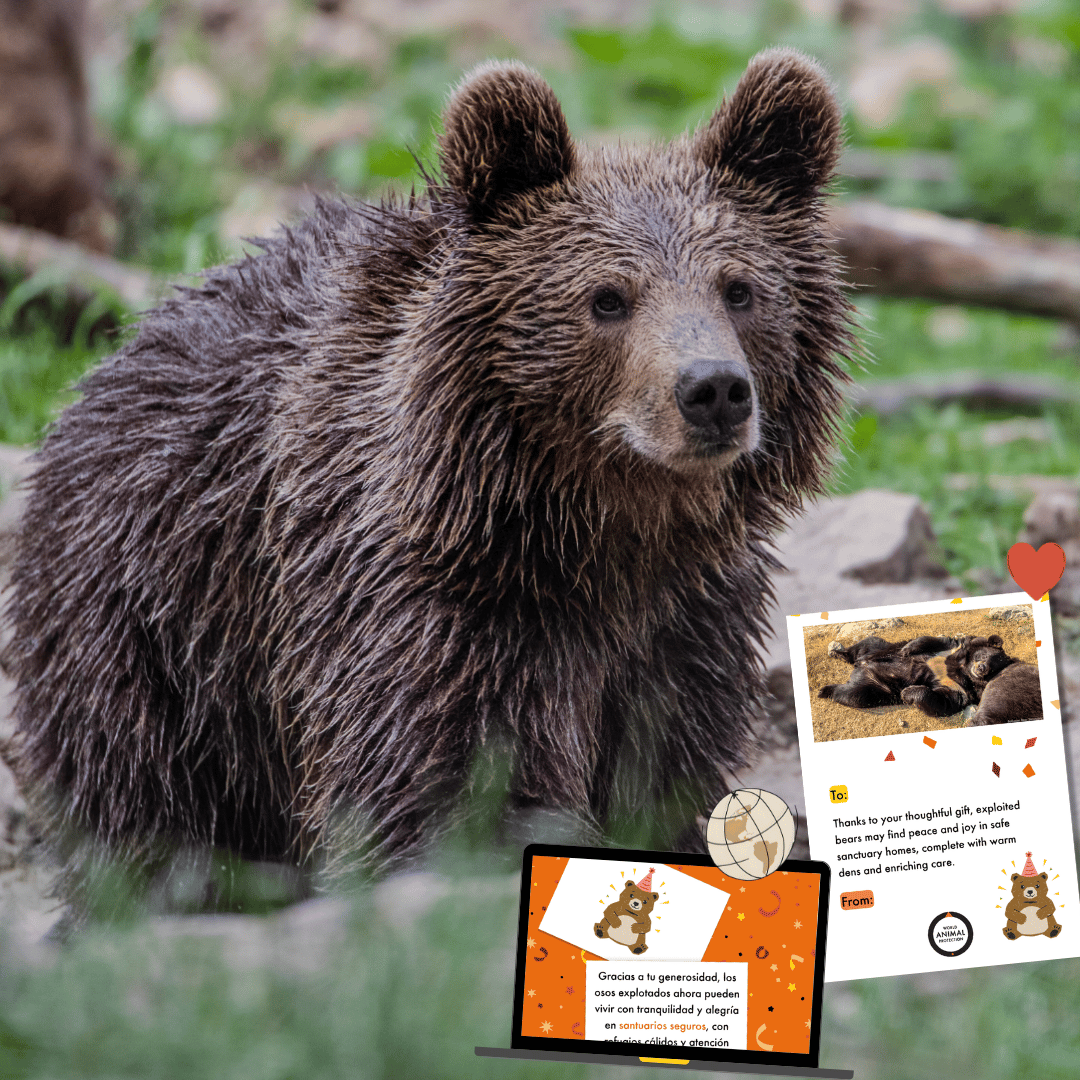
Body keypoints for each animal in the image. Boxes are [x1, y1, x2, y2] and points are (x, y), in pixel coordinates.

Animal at [3, 51, 850, 908]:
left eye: (740, 288)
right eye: (607, 298)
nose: (713, 389)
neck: (599, 531)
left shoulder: (683, 623)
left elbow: (664, 772)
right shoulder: (427, 602)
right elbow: (434, 782)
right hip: (155, 635)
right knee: (142, 801)